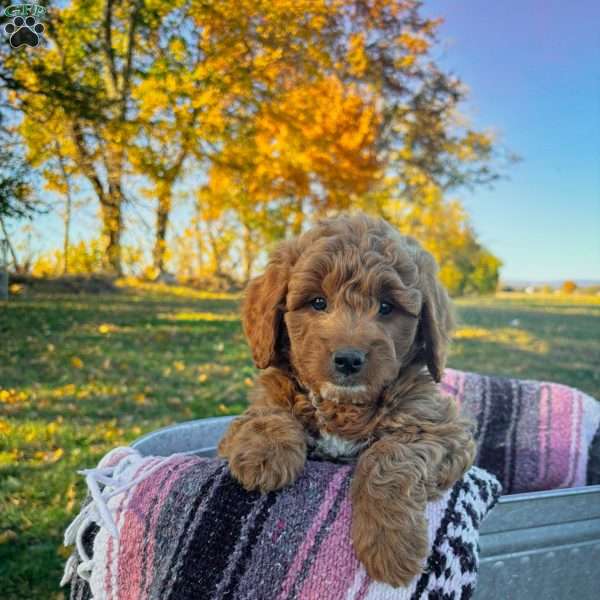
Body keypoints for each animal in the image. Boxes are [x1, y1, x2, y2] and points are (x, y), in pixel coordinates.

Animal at [218, 213, 476, 588]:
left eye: (386, 307)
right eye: (317, 302)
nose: (349, 359)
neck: (342, 407)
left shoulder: (443, 429)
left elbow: (388, 455)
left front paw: (390, 545)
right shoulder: (258, 407)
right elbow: (267, 412)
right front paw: (265, 456)